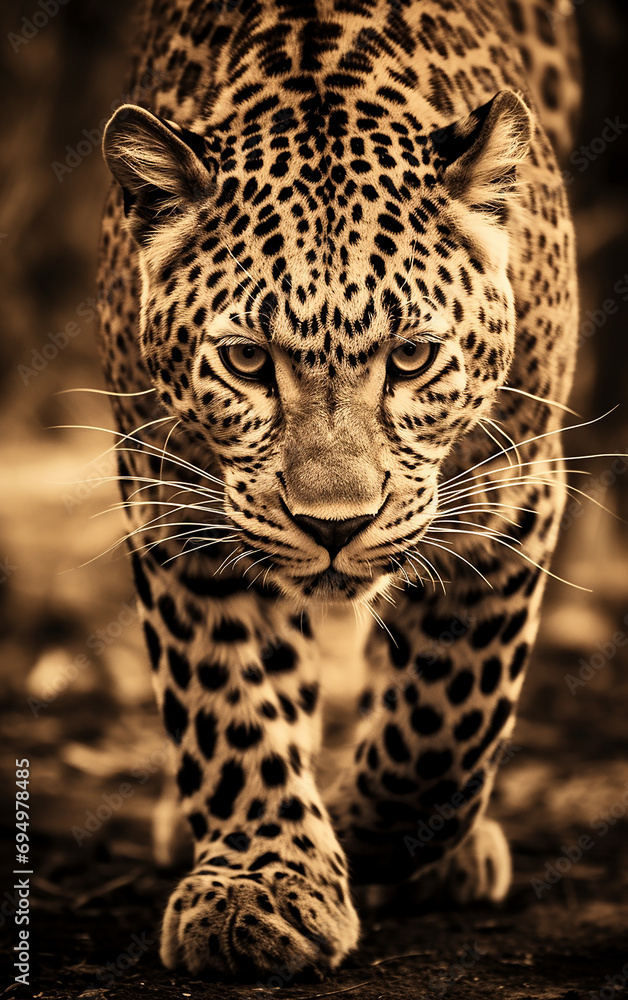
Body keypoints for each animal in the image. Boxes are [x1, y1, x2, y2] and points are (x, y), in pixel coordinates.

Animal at [95, 0, 581, 978]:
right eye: (248, 362)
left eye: (414, 357)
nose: (334, 526)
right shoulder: (178, 515)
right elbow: (230, 704)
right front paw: (259, 885)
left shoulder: (517, 497)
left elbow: (447, 716)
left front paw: (371, 833)